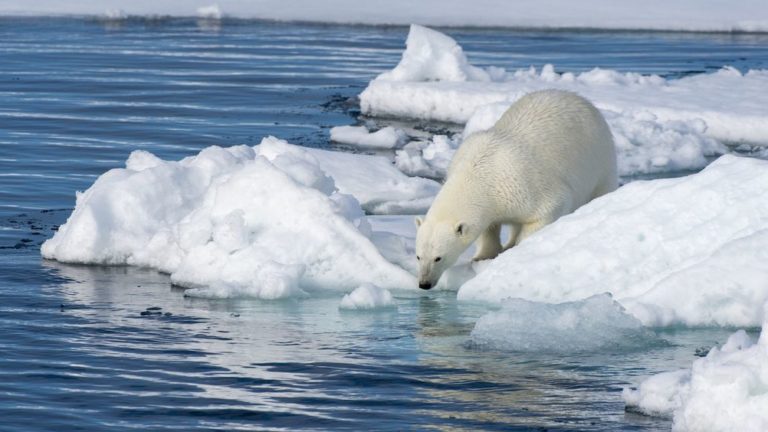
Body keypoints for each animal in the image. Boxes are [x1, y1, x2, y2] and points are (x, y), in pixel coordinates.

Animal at [414, 89, 616, 288]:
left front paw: (516, 251)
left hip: (600, 159)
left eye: (438, 258)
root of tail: (578, 97)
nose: (424, 284)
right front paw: (483, 256)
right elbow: (488, 227)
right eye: (418, 256)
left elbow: (548, 210)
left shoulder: (523, 184)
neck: (480, 172)